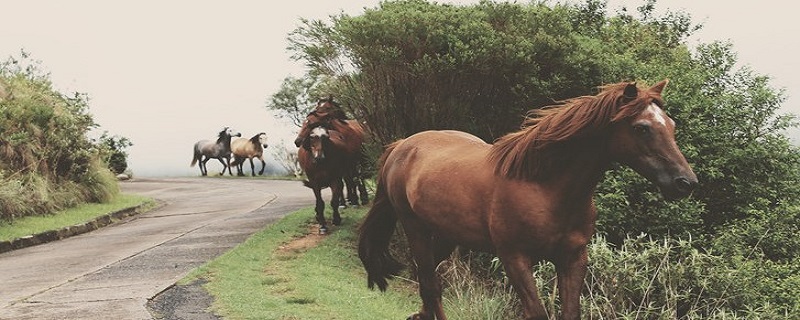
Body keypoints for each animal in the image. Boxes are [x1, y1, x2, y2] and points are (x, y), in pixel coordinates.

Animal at [360, 80, 696, 320]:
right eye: (642, 128)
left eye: (671, 125)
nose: (686, 182)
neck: (544, 187)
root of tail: (404, 145)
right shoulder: (516, 258)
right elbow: (536, 313)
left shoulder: (573, 258)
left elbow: (571, 312)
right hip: (415, 228)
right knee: (430, 283)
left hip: (446, 235)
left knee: (428, 281)